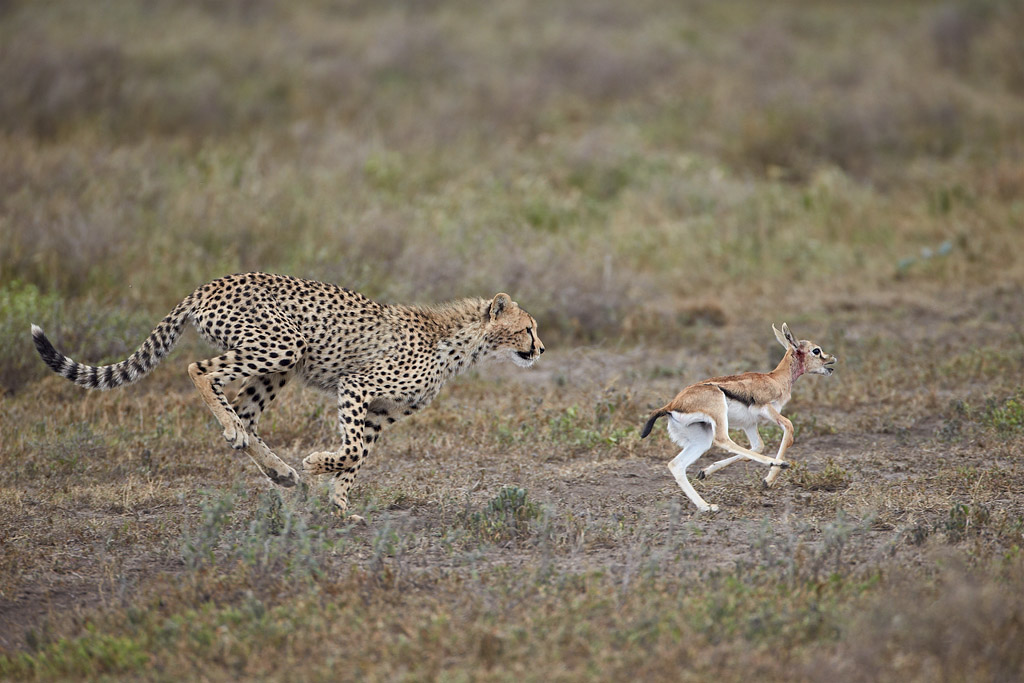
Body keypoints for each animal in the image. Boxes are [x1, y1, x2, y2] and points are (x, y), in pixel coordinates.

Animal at [31, 272, 545, 515]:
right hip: (281, 345)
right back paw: (238, 435)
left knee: (247, 414)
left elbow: (359, 457)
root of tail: (210, 284)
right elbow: (350, 451)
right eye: (528, 328)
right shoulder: (358, 387)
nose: (540, 348)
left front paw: (340, 506)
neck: (461, 342)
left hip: (278, 365)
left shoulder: (380, 413)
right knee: (200, 370)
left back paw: (278, 470)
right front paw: (319, 466)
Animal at [640, 323, 837, 512]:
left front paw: (705, 472)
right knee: (723, 440)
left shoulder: (749, 424)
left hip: (700, 440)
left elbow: (757, 447)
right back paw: (778, 463)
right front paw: (768, 480)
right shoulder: (767, 409)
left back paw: (706, 507)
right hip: (718, 415)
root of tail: (671, 405)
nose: (832, 358)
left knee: (676, 465)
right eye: (816, 350)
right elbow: (788, 427)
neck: (775, 379)